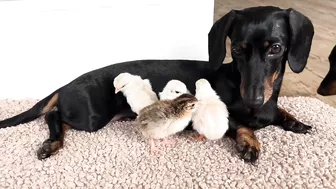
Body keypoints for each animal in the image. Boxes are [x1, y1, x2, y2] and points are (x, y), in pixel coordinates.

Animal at [0, 5, 316, 162]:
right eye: (237, 49)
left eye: (275, 49)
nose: (253, 100)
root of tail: (64, 85)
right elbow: (244, 126)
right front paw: (250, 143)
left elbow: (280, 113)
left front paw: (294, 121)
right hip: (91, 118)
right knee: (54, 116)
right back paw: (51, 144)